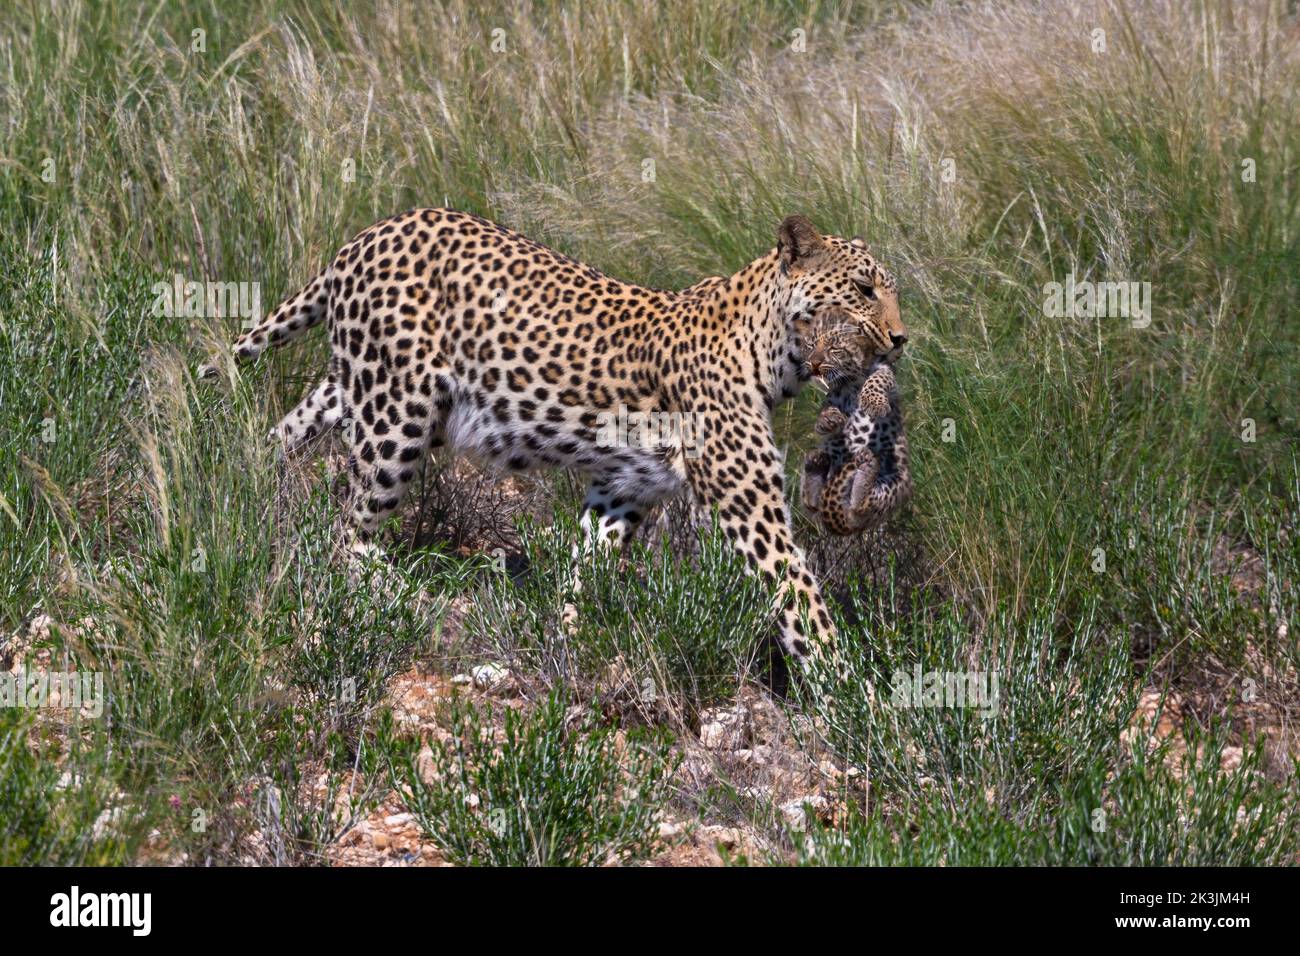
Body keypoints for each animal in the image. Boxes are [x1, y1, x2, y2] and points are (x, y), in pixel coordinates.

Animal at [200, 210, 904, 665]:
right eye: (863, 289)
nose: (900, 340)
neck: (773, 350)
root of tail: (363, 238)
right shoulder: (749, 504)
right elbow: (800, 599)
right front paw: (853, 698)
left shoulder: (623, 487)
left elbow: (585, 568)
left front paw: (566, 637)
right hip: (396, 421)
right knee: (346, 530)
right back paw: (387, 594)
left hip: (360, 391)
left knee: (286, 442)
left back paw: (254, 490)